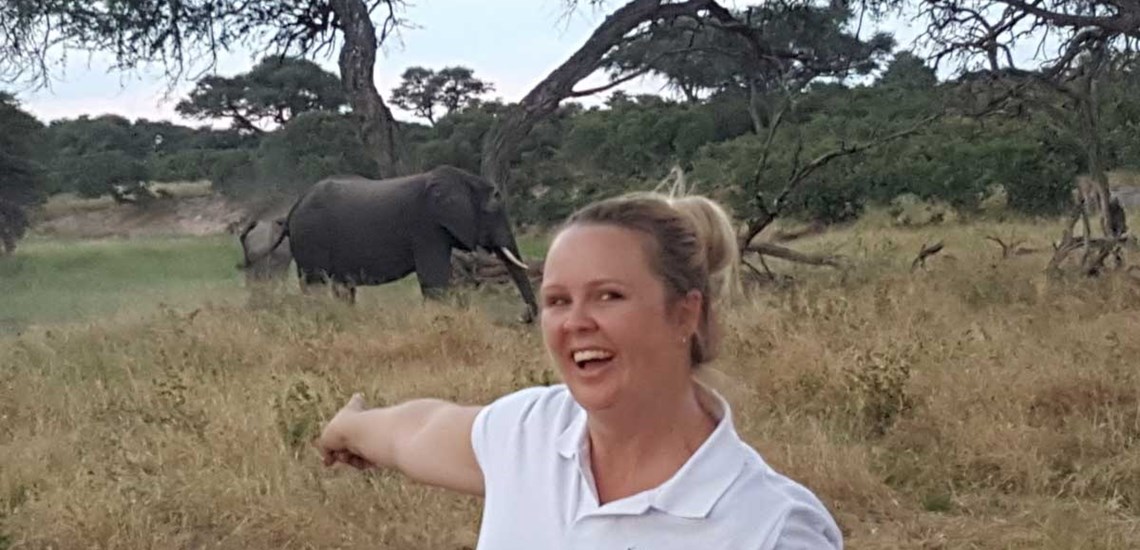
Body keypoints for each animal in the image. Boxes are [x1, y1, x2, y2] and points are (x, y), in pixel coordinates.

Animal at [257, 165, 538, 319]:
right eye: (493, 211)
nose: (524, 317)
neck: (462, 180)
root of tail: (292, 210)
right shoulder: (426, 227)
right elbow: (434, 279)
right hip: (310, 237)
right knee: (316, 285)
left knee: (341, 288)